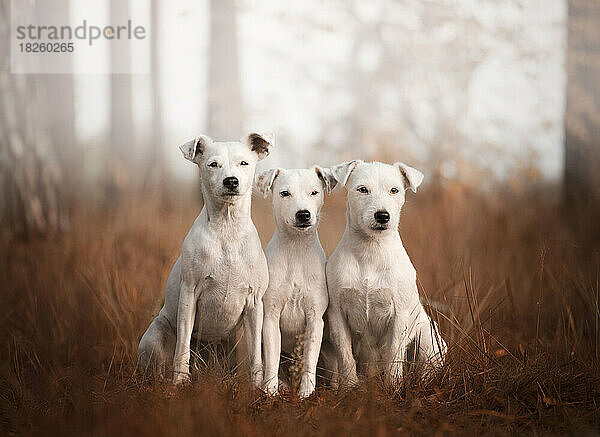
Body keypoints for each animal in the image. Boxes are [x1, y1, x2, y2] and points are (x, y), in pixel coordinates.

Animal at [138, 132, 272, 384]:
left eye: (244, 163)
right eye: (213, 164)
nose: (231, 181)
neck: (227, 229)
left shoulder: (254, 305)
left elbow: (256, 356)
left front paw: (258, 387)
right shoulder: (189, 295)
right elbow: (182, 346)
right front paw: (180, 382)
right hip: (154, 337)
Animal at [255, 165, 332, 396]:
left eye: (314, 192)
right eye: (284, 193)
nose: (303, 214)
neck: (296, 249)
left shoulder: (315, 320)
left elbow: (309, 360)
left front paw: (306, 392)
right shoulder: (270, 318)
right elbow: (272, 357)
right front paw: (270, 390)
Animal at [324, 159, 446, 384]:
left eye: (394, 190)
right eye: (362, 189)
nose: (382, 215)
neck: (371, 251)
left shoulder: (399, 317)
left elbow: (393, 356)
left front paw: (393, 386)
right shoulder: (337, 315)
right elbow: (345, 357)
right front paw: (350, 387)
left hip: (428, 340)